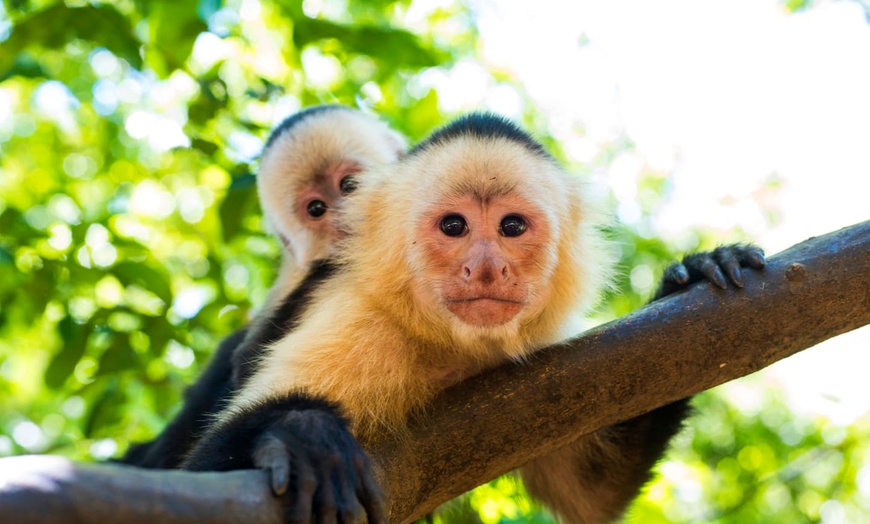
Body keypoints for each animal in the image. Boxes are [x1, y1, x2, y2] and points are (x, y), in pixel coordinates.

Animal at [182, 112, 764, 520]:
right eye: (454, 226)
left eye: (511, 226)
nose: (485, 269)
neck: (452, 344)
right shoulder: (358, 320)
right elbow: (200, 468)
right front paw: (300, 433)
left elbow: (591, 494)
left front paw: (693, 272)